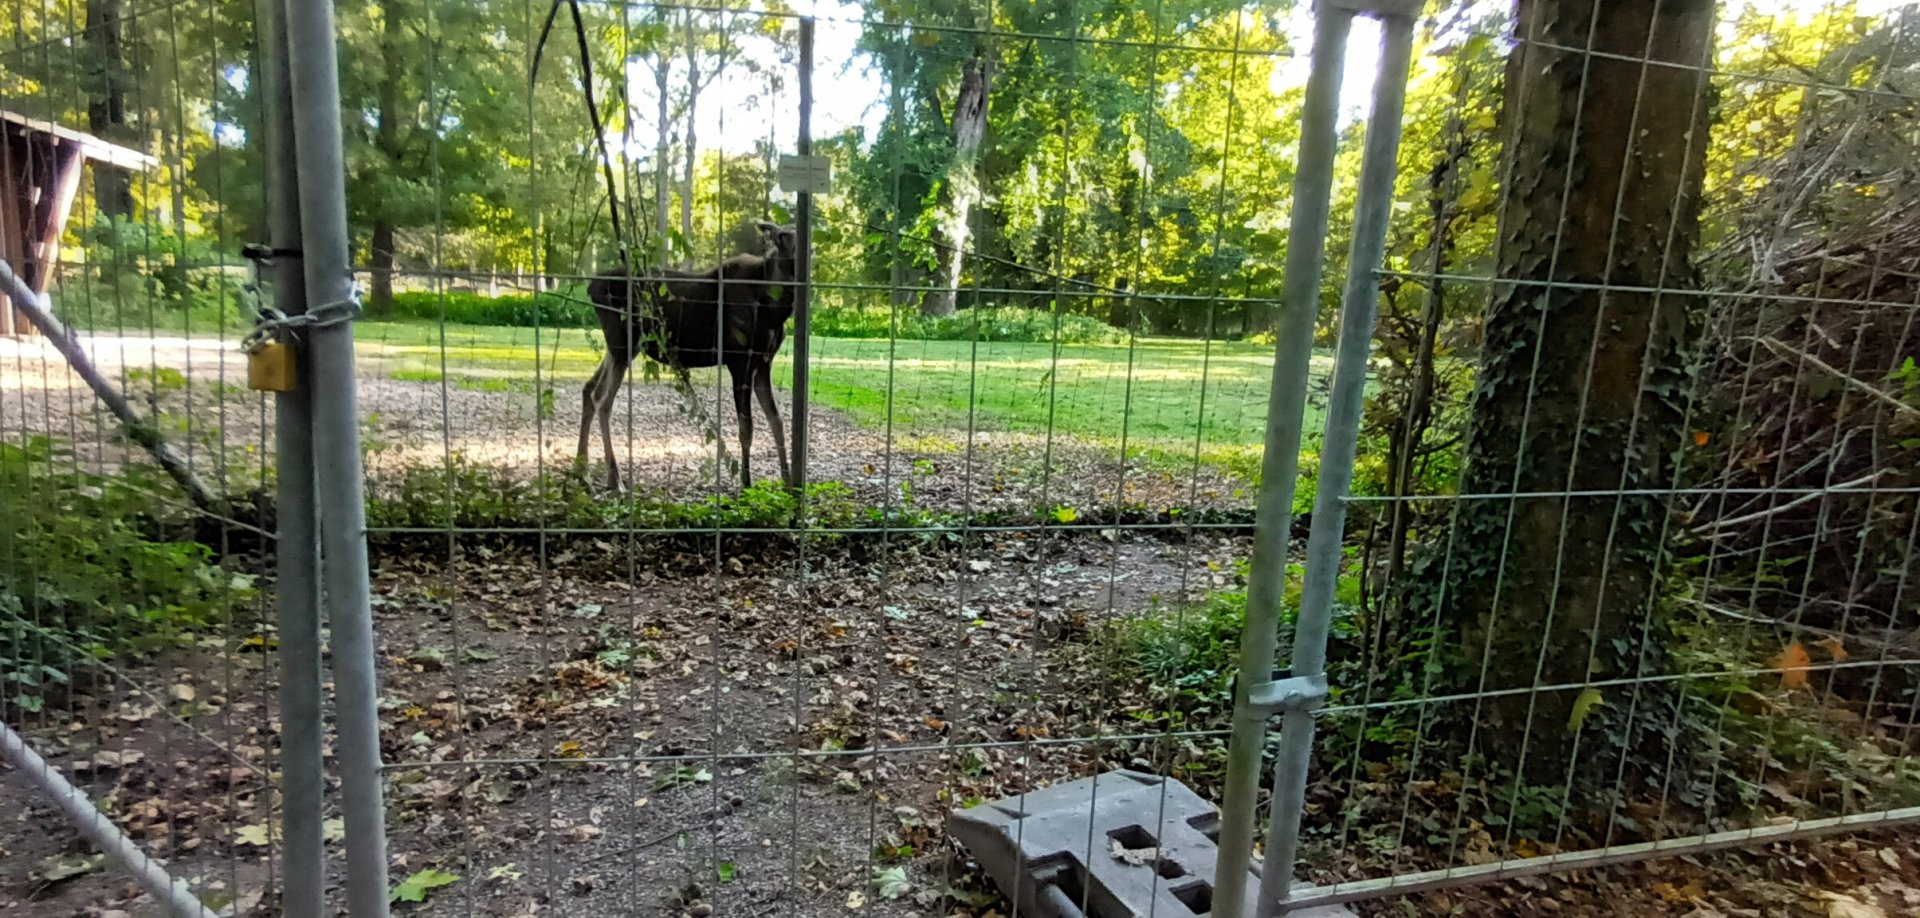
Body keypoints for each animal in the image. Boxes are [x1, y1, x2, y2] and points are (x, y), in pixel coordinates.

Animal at [576, 220, 799, 493]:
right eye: (781, 236)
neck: (775, 311)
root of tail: (591, 287)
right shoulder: (739, 361)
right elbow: (747, 427)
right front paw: (746, 484)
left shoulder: (763, 363)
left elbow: (777, 421)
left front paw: (789, 483)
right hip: (622, 344)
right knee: (602, 399)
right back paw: (615, 479)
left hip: (620, 348)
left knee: (589, 389)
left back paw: (583, 472)